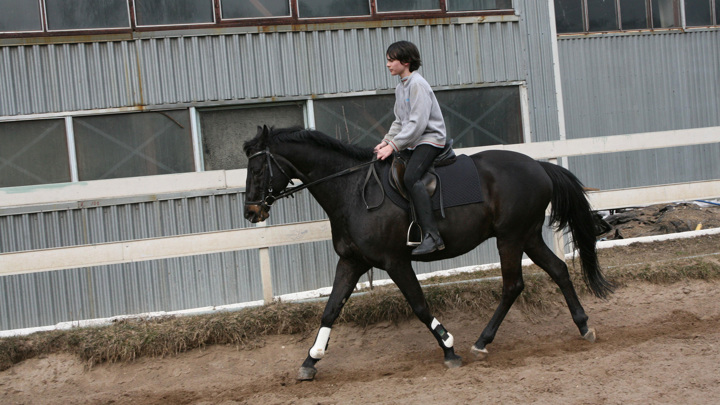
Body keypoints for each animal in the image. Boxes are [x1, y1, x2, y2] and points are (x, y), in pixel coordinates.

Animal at [243, 124, 612, 380]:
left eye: (258, 169)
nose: (251, 212)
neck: (351, 190)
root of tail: (539, 166)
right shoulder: (352, 261)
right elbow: (330, 310)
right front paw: (310, 361)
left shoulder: (395, 261)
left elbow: (419, 305)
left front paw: (449, 348)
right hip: (528, 236)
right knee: (558, 270)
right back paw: (583, 327)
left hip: (510, 237)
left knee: (513, 285)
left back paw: (482, 342)